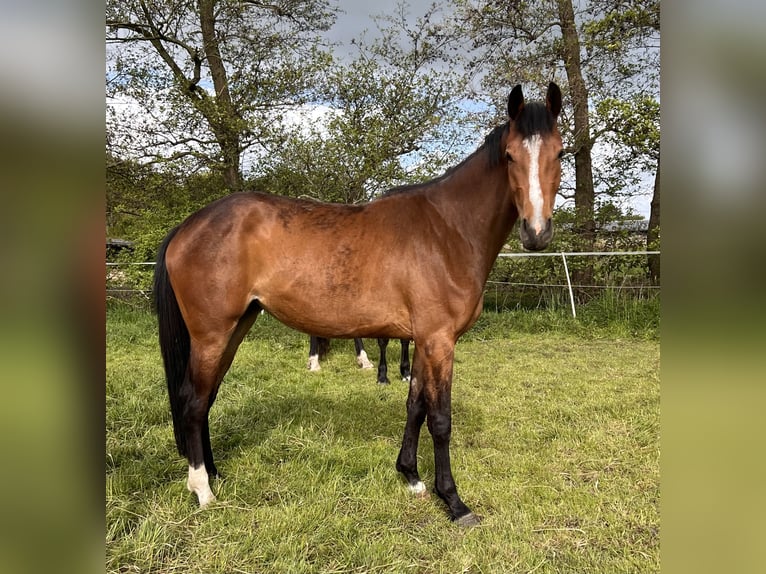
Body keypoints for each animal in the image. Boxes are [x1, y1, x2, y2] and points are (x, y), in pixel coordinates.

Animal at [153, 83, 563, 526]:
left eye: (559, 153)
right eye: (510, 156)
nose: (536, 233)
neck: (447, 230)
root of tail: (189, 225)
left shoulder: (424, 340)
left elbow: (415, 405)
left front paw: (411, 476)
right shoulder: (440, 341)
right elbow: (440, 418)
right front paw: (453, 501)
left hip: (236, 328)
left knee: (208, 398)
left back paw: (214, 473)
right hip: (211, 334)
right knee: (193, 402)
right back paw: (203, 490)